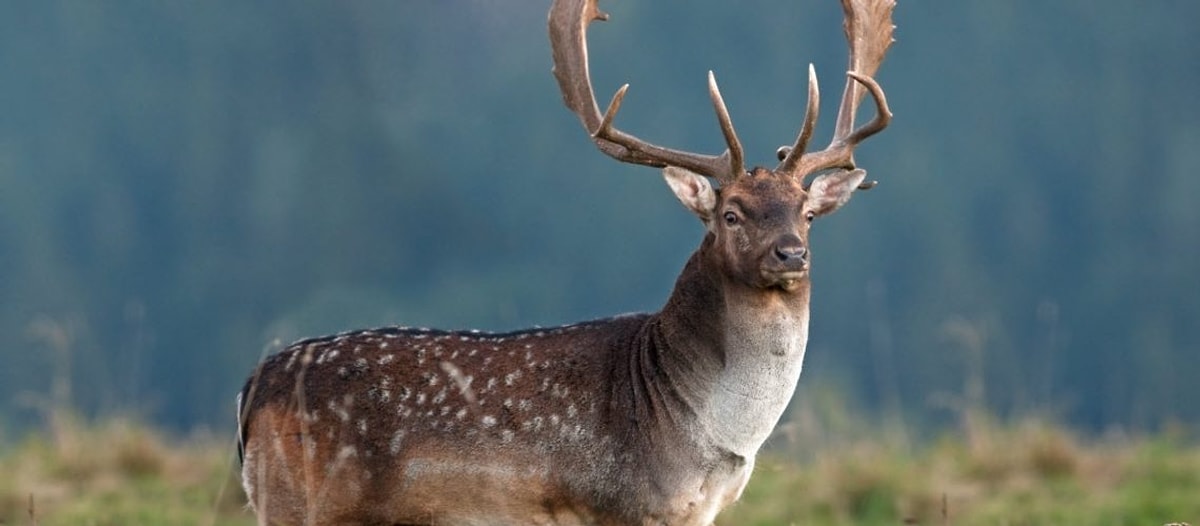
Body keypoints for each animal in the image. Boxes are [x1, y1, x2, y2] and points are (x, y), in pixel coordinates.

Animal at [236, 0, 892, 523]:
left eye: (807, 212)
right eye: (730, 214)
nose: (792, 253)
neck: (705, 442)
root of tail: (251, 390)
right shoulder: (624, 508)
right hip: (297, 505)